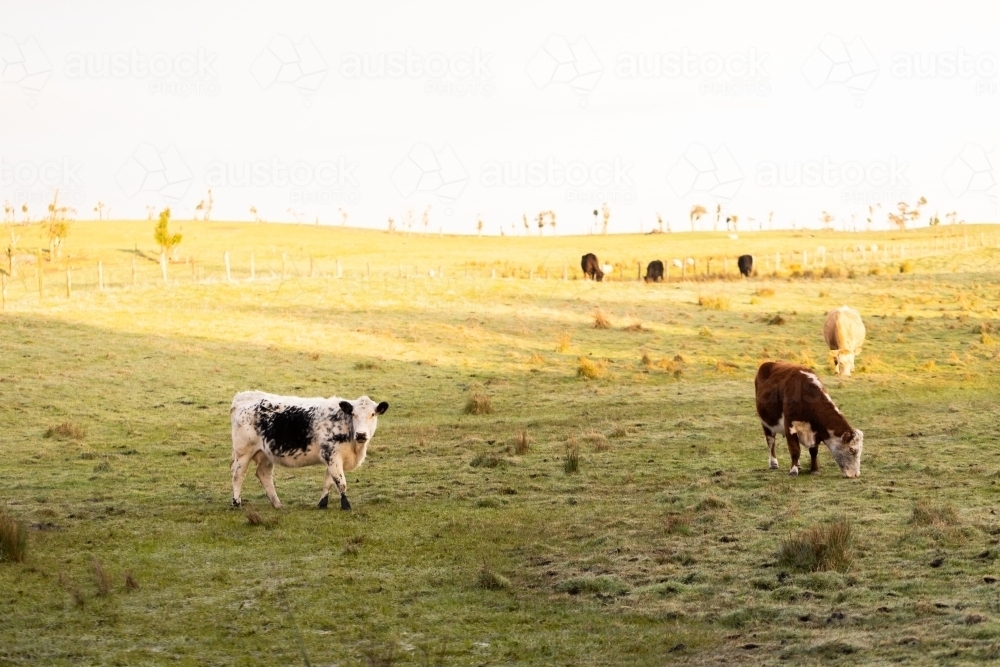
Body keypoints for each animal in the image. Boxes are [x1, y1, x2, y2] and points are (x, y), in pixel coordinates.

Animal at [232, 392, 388, 512]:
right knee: (238, 475)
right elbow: (340, 482)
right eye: (353, 414)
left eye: (373, 414)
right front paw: (346, 506)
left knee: (264, 475)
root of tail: (243, 396)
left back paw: (277, 504)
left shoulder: (331, 459)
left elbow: (328, 481)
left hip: (266, 454)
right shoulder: (332, 456)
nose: (361, 434)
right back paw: (236, 503)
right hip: (243, 452)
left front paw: (323, 504)